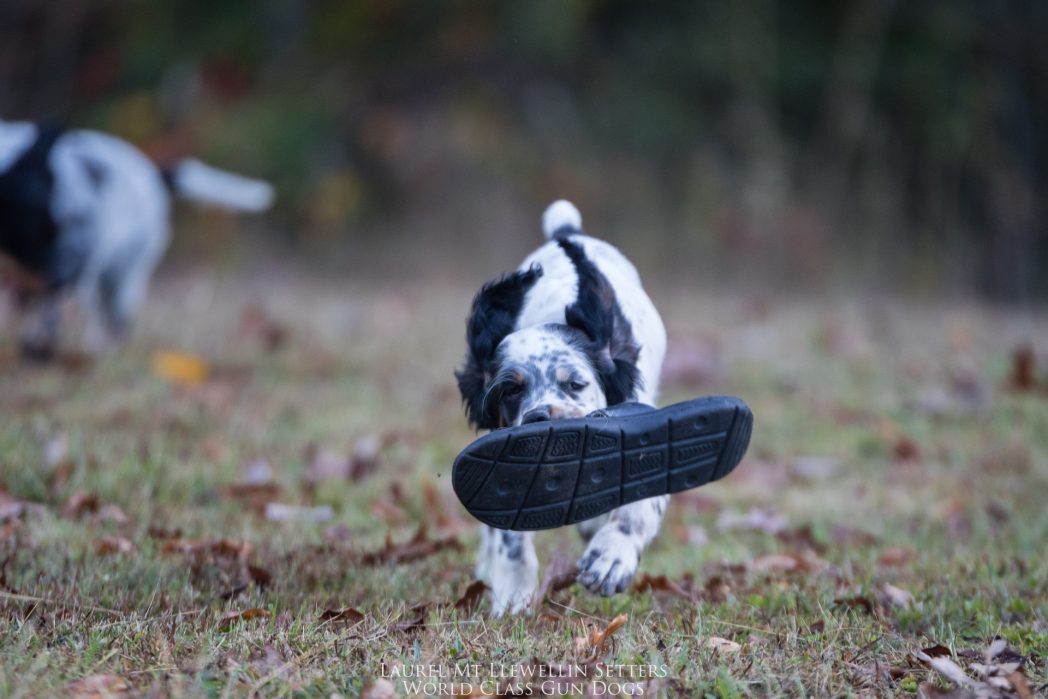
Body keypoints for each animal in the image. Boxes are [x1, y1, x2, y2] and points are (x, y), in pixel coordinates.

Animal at [0, 118, 274, 356]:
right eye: (42, 226)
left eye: (49, 224)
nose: (64, 275)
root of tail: (151, 175)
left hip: (119, 276)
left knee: (113, 323)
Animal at [454, 199, 666, 616]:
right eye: (510, 391)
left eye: (575, 384)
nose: (539, 419)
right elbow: (509, 535)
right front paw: (513, 596)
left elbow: (639, 504)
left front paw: (610, 559)